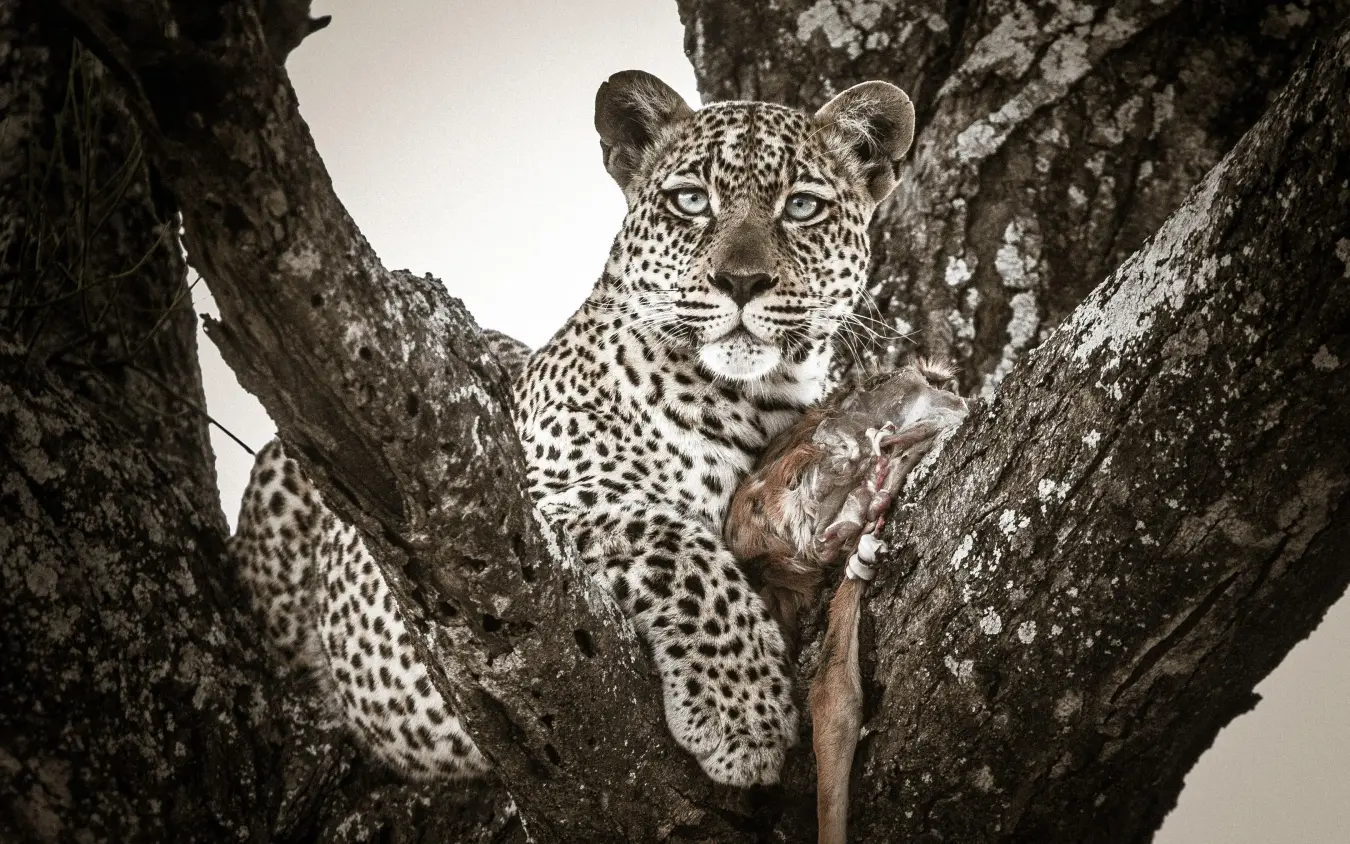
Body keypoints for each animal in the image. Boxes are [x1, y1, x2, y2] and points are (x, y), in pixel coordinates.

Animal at [229, 70, 914, 787]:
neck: (757, 398)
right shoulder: (500, 518)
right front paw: (742, 713)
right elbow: (675, 542)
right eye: (691, 201)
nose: (741, 280)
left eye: (802, 207)